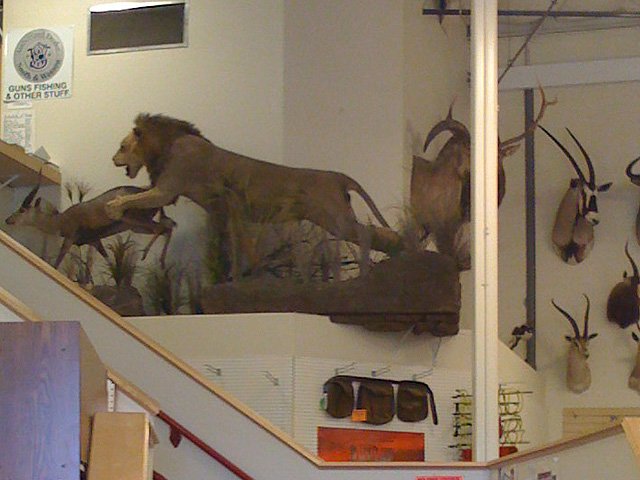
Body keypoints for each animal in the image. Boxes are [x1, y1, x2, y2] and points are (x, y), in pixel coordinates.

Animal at [105, 114, 401, 265]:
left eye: (121, 146)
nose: (112, 159)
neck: (167, 146)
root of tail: (339, 176)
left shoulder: (168, 188)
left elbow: (134, 198)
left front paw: (113, 208)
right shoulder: (219, 209)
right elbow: (244, 246)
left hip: (336, 219)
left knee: (370, 232)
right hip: (333, 219)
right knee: (380, 233)